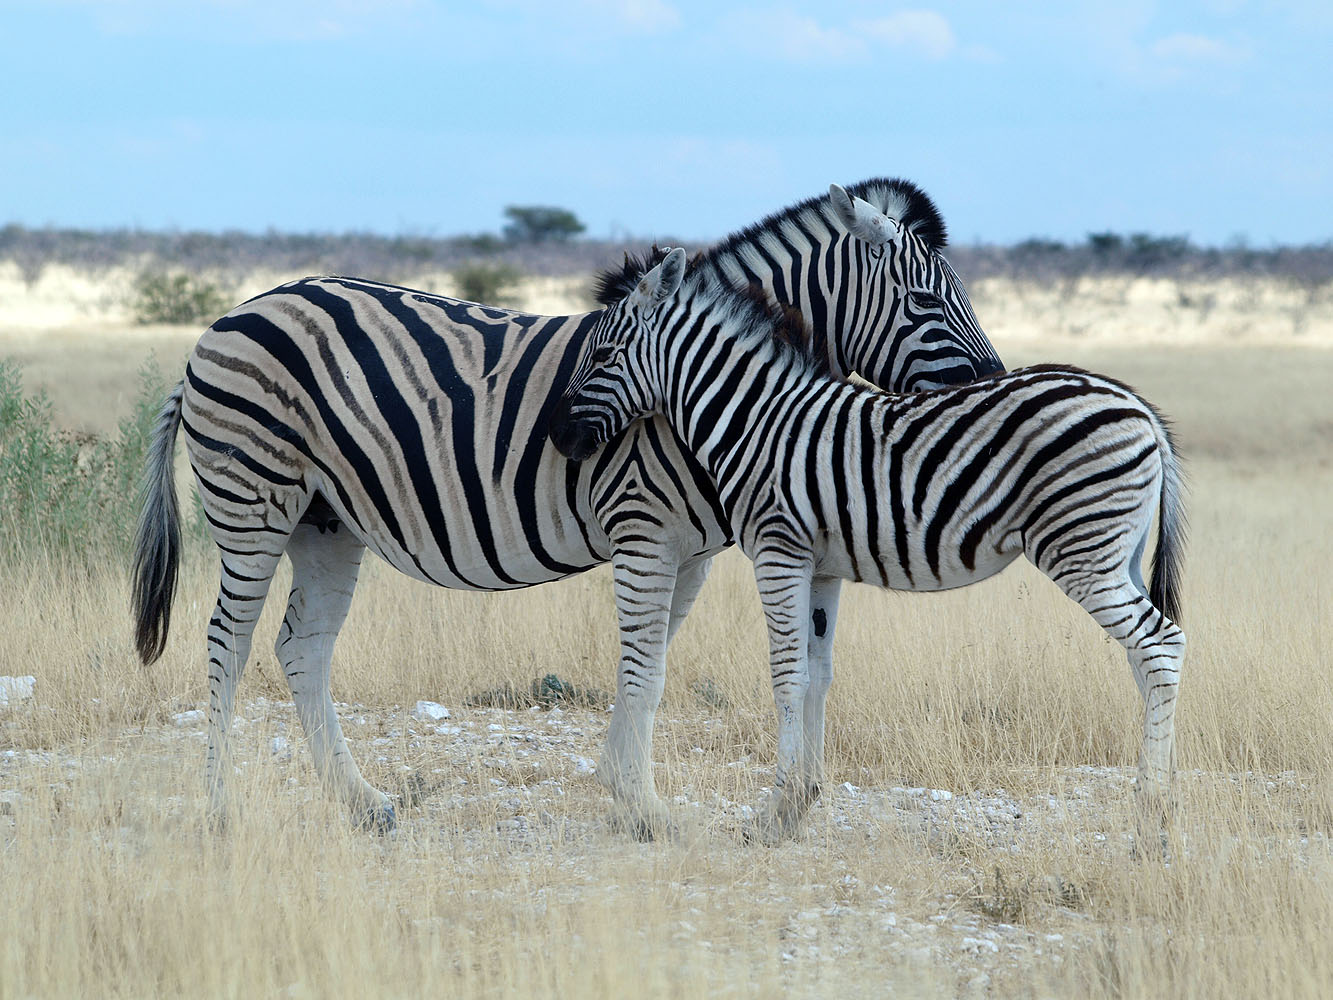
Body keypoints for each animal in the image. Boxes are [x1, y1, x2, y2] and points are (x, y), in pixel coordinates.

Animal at [131, 179, 1003, 836]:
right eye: (923, 300)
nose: (993, 387)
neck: (710, 387)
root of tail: (221, 323)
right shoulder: (645, 530)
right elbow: (647, 669)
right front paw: (646, 809)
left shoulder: (689, 551)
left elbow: (646, 662)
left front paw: (623, 791)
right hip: (254, 496)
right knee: (229, 641)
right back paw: (221, 807)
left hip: (326, 522)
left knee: (301, 648)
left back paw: (362, 802)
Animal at [549, 235, 1186, 847]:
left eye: (602, 355)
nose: (558, 437)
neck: (755, 420)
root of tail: (1139, 407)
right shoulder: (822, 565)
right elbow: (817, 674)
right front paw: (797, 805)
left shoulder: (779, 550)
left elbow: (787, 676)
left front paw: (771, 814)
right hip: (1119, 555)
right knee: (1146, 657)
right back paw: (1154, 800)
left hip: (1082, 551)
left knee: (1162, 643)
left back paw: (1151, 814)